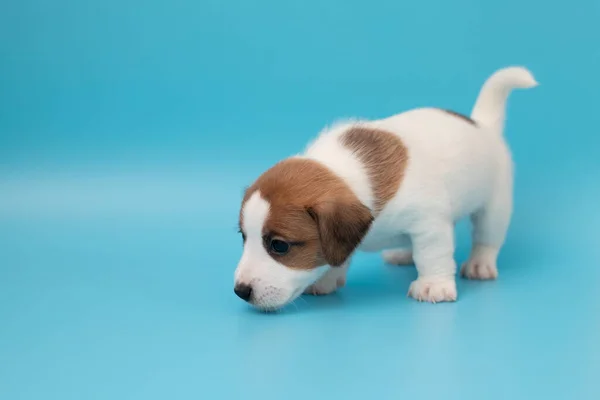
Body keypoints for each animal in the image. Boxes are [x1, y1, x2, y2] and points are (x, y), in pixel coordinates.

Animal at [232, 66, 536, 310]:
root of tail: (482, 125)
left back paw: (479, 263)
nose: (240, 292)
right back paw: (403, 254)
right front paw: (328, 278)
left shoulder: (429, 224)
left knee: (486, 238)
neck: (346, 171)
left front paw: (434, 284)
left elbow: (432, 254)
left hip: (494, 206)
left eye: (279, 246)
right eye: (244, 237)